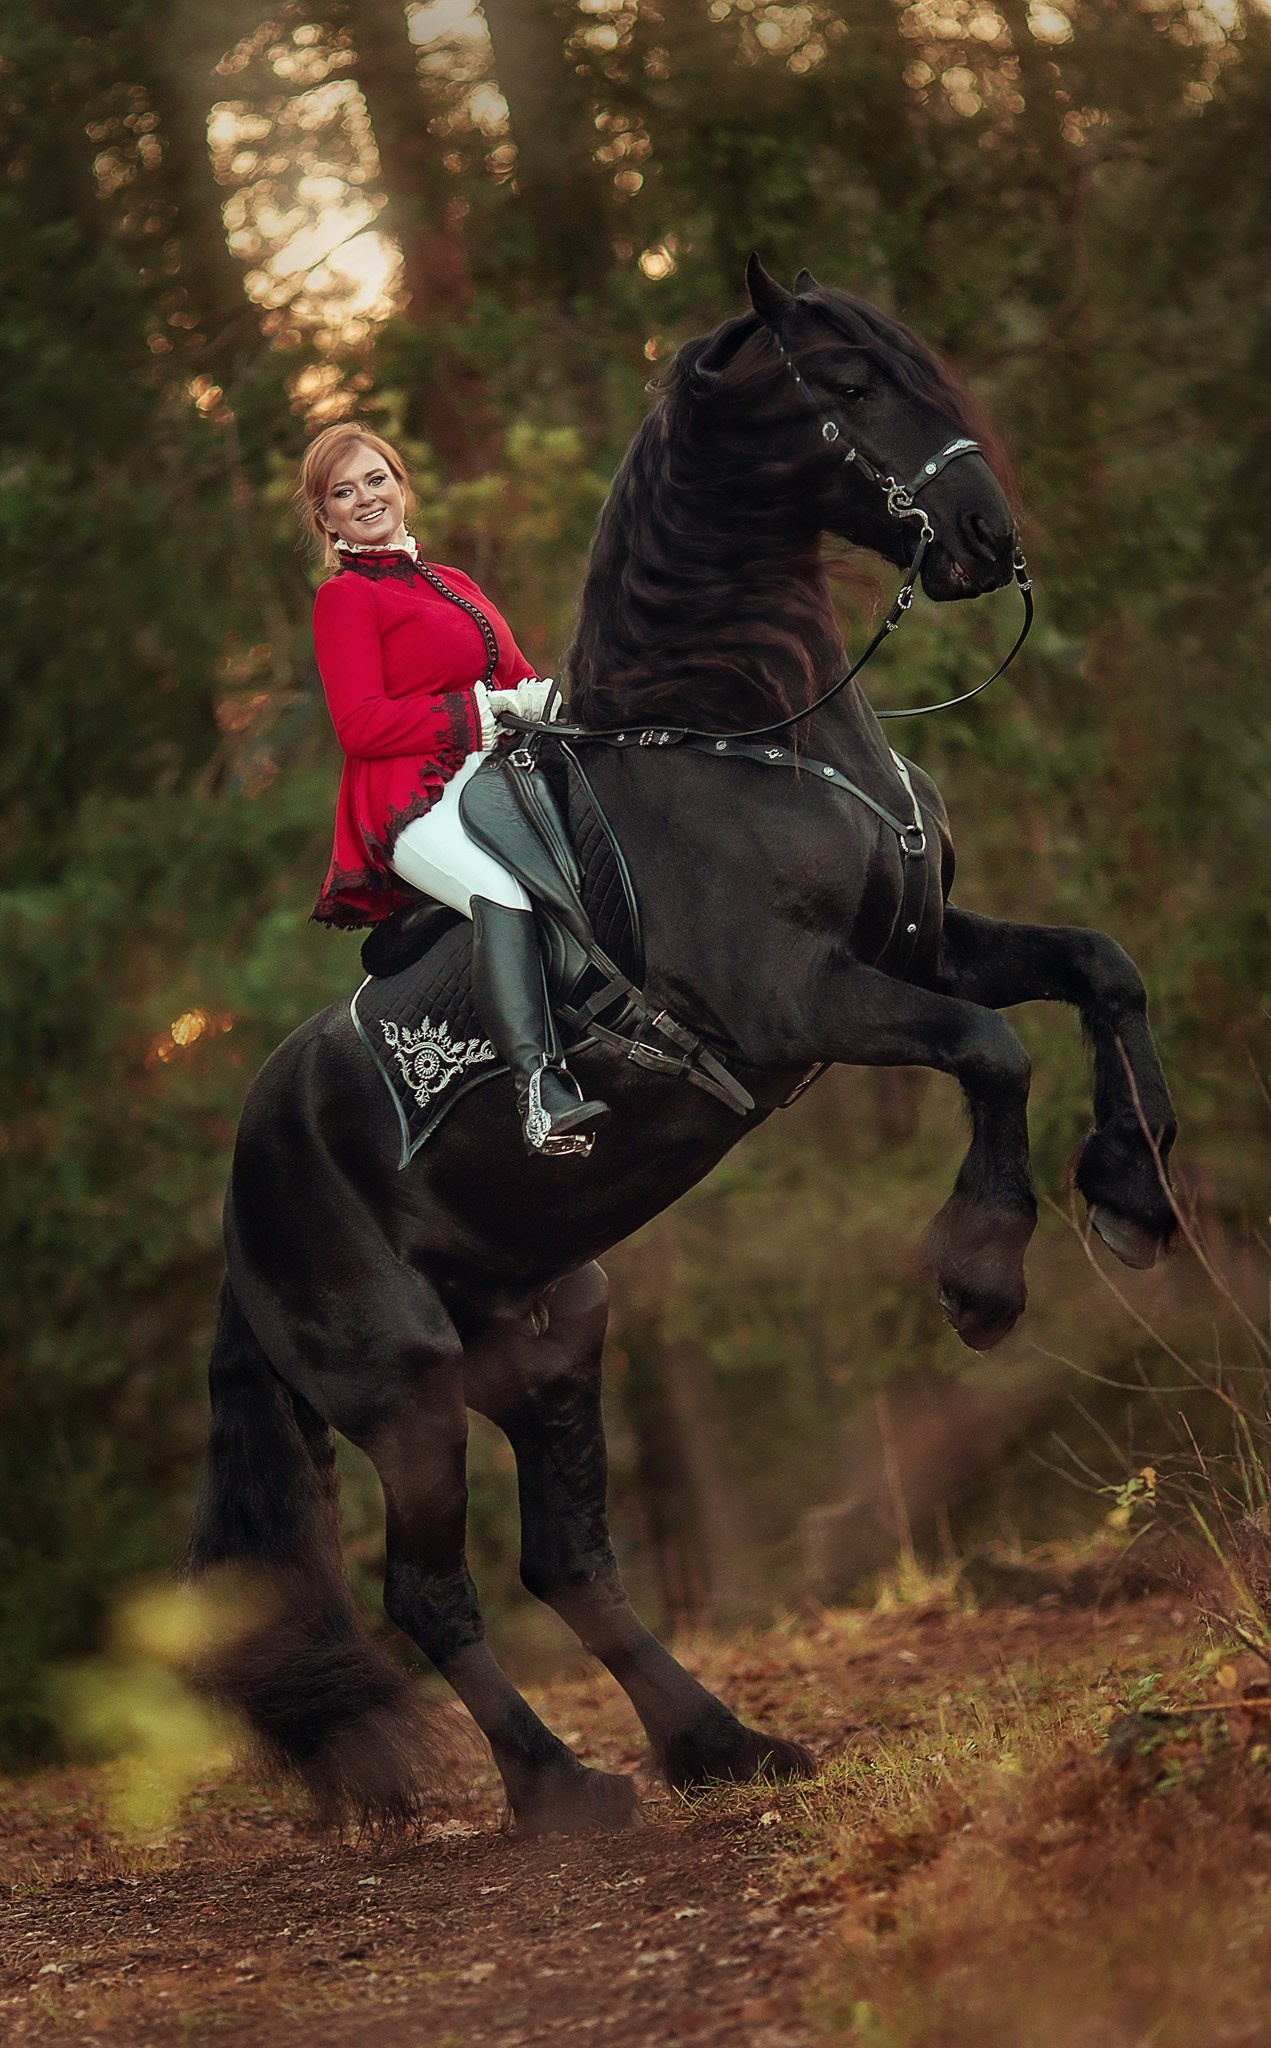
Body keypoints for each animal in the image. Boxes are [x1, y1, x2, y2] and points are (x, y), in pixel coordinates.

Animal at [185, 257, 1177, 1835]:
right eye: (845, 384)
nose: (985, 538)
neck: (742, 737)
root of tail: (242, 1193)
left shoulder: (918, 946)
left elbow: (1097, 969)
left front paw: (1134, 1196)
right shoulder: (798, 1001)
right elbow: (989, 1052)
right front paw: (978, 1274)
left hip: (546, 1335)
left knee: (567, 1558)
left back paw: (720, 1743)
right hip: (401, 1388)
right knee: (430, 1593)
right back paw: (559, 1789)